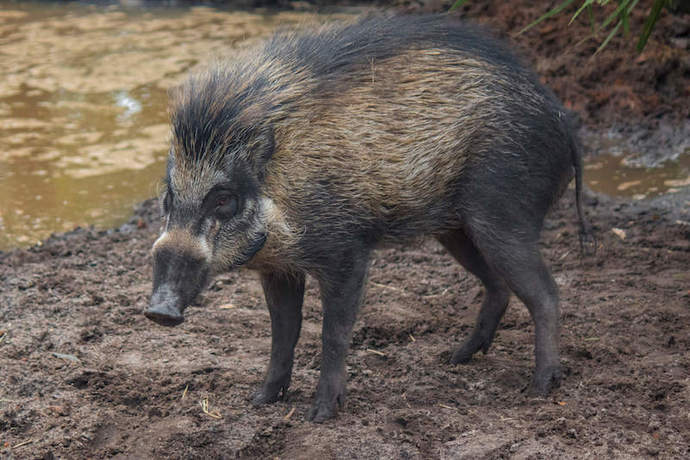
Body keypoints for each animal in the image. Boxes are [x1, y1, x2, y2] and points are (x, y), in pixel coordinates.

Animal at [145, 14, 591, 422]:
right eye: (169, 196)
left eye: (224, 199)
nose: (158, 312)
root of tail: (561, 119)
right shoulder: (279, 268)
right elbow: (283, 332)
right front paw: (260, 400)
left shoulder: (347, 252)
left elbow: (334, 332)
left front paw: (321, 415)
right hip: (455, 228)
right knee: (498, 284)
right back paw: (454, 358)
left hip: (502, 213)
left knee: (546, 293)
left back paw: (539, 388)